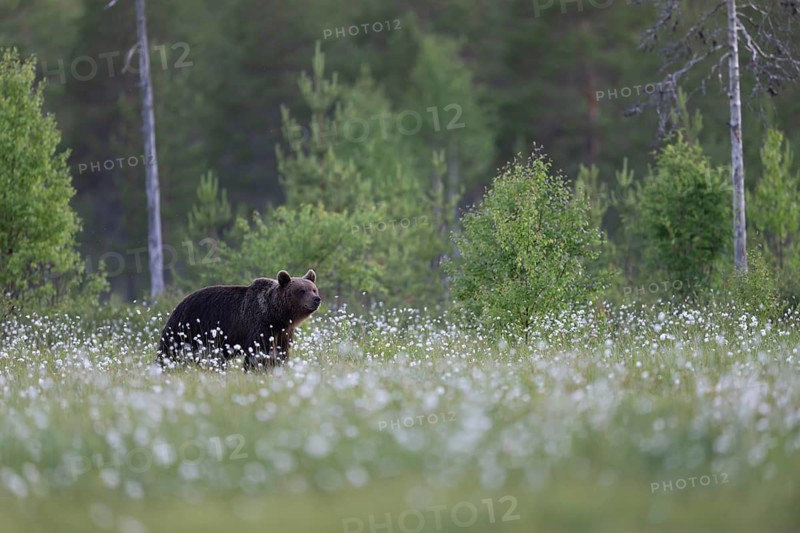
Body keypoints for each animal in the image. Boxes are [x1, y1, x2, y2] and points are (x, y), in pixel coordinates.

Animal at [157, 269, 320, 371]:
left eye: (313, 289)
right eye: (301, 291)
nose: (316, 299)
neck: (275, 315)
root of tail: (177, 305)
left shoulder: (283, 332)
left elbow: (281, 352)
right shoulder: (258, 324)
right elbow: (258, 351)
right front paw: (256, 370)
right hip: (187, 329)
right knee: (170, 352)